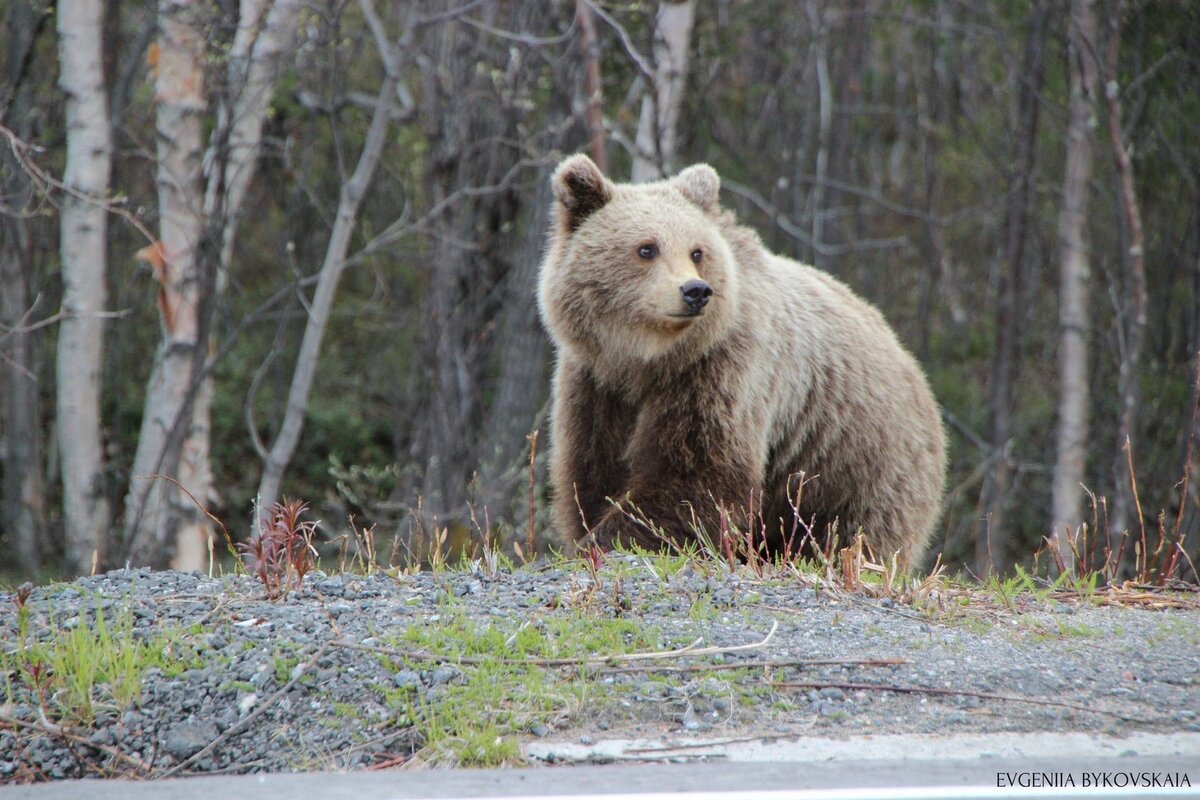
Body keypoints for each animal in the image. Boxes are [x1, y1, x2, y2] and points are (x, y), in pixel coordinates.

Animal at [537, 153, 945, 566]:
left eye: (697, 251)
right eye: (647, 248)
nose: (695, 291)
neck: (647, 360)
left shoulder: (720, 371)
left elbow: (696, 476)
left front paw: (610, 538)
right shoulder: (595, 384)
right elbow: (591, 471)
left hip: (855, 460)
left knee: (852, 529)